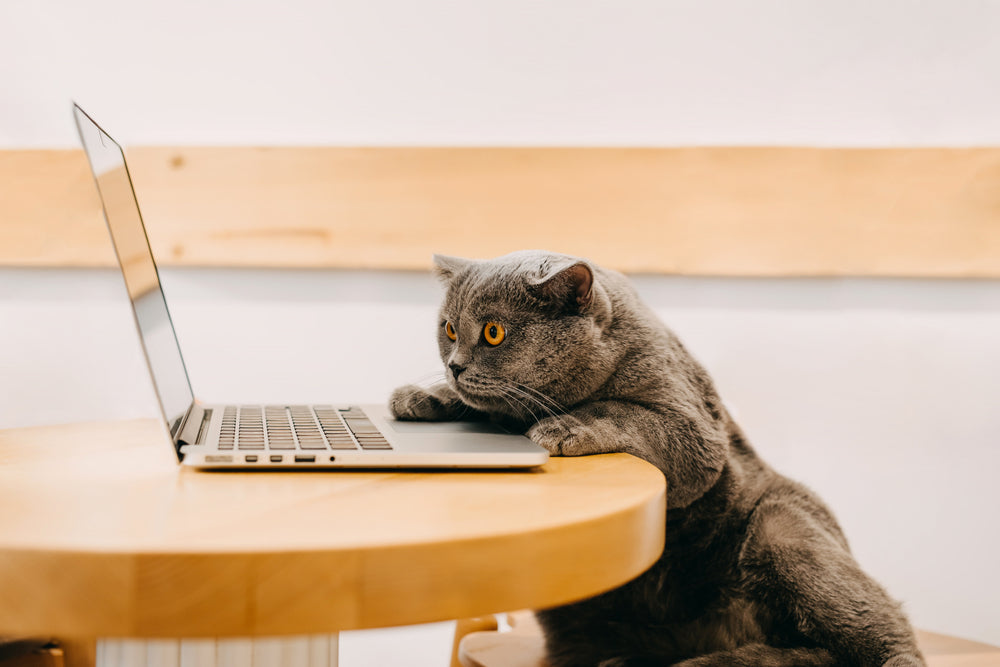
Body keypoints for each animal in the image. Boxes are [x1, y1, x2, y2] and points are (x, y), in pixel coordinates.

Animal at [388, 252, 920, 667]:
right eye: (449, 329)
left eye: (494, 333)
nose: (454, 365)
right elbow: (480, 404)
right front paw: (419, 395)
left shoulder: (691, 430)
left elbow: (620, 410)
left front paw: (563, 426)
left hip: (782, 529)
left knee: (886, 643)